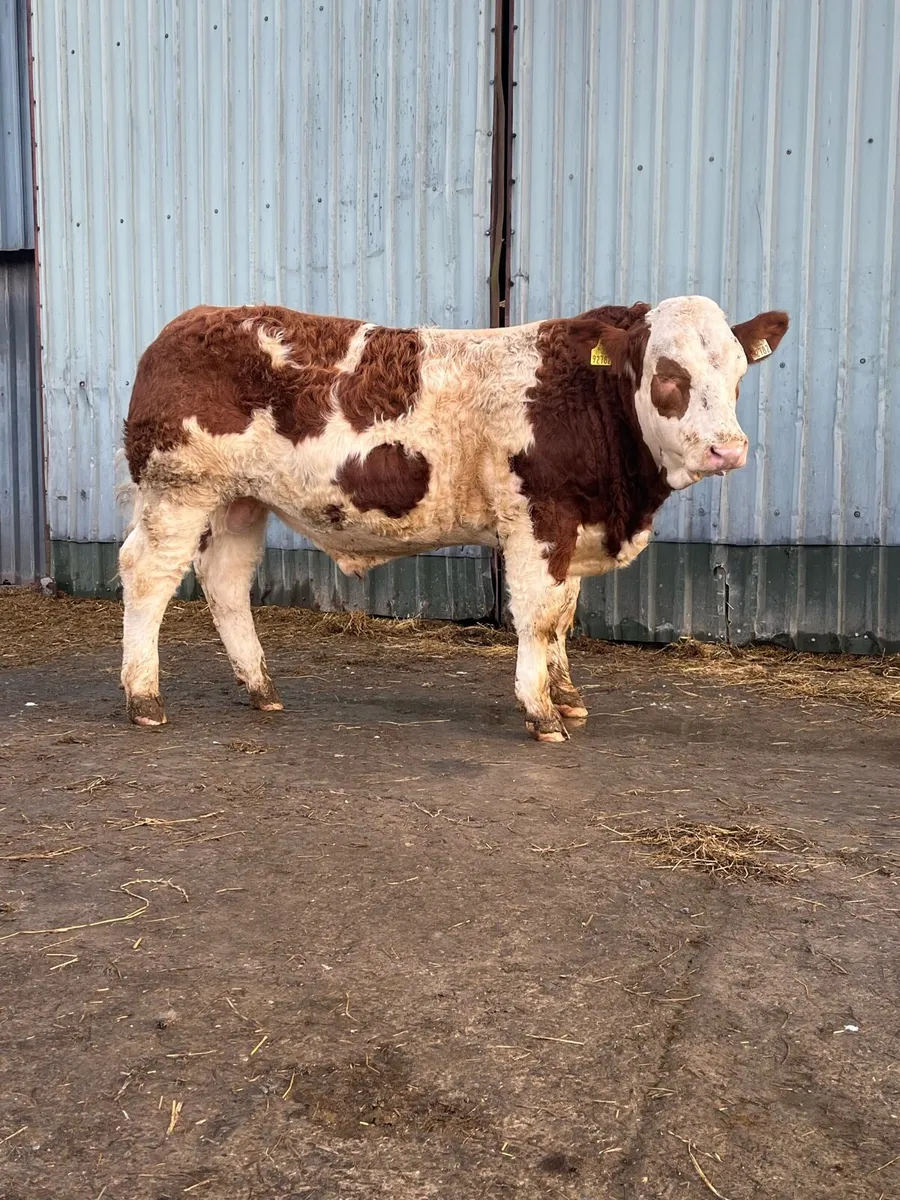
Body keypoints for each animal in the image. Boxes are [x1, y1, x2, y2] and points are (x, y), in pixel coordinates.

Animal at [119, 296, 788, 742]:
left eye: (737, 372)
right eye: (669, 375)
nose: (728, 449)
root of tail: (188, 321)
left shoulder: (574, 527)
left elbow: (564, 614)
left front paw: (566, 694)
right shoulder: (539, 520)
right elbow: (538, 617)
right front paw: (542, 712)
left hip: (239, 501)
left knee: (226, 582)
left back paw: (261, 691)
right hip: (179, 489)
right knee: (147, 575)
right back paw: (144, 697)